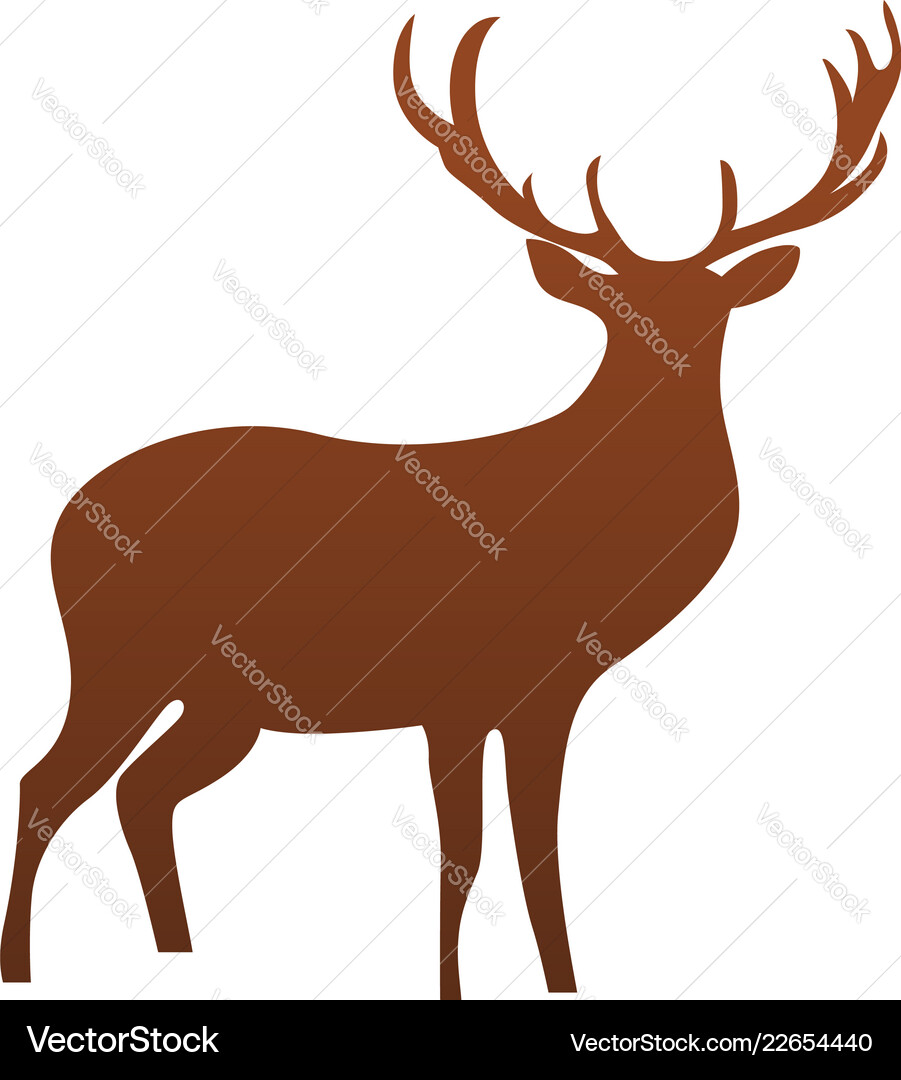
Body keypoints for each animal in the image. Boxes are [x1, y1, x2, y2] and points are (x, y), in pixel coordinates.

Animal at [3, 8, 899, 1000]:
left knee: (141, 792)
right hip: (119, 657)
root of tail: (63, 518)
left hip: (222, 699)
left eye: (715, 311)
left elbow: (541, 854)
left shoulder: (547, 693)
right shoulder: (458, 688)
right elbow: (462, 860)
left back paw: (184, 959)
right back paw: (28, 967)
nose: (669, 363)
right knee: (47, 786)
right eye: (614, 310)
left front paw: (563, 983)